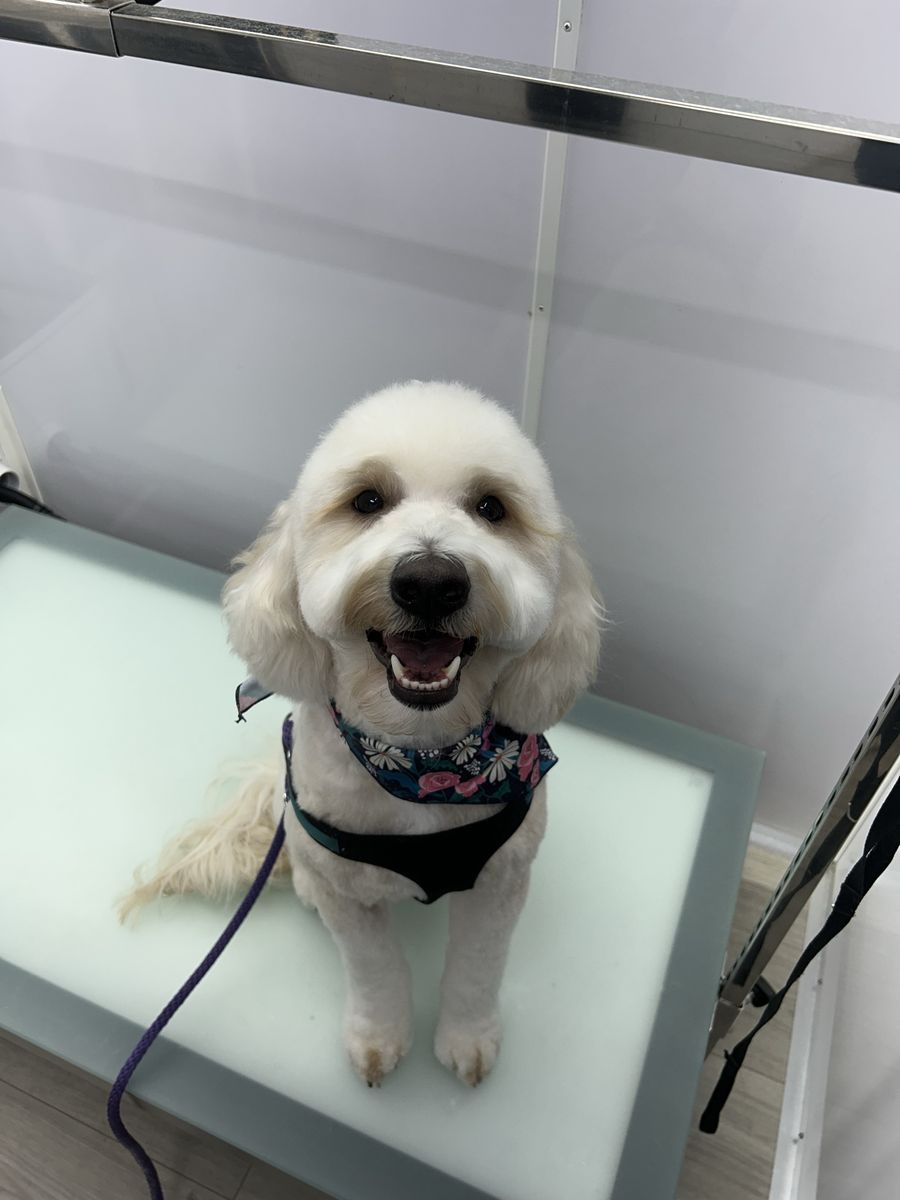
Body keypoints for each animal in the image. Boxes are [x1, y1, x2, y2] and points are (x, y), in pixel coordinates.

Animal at [123, 381, 602, 1088]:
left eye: (492, 507)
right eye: (368, 500)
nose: (430, 581)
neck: (422, 754)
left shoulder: (500, 880)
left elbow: (477, 968)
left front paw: (467, 1038)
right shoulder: (347, 893)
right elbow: (375, 969)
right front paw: (379, 1039)